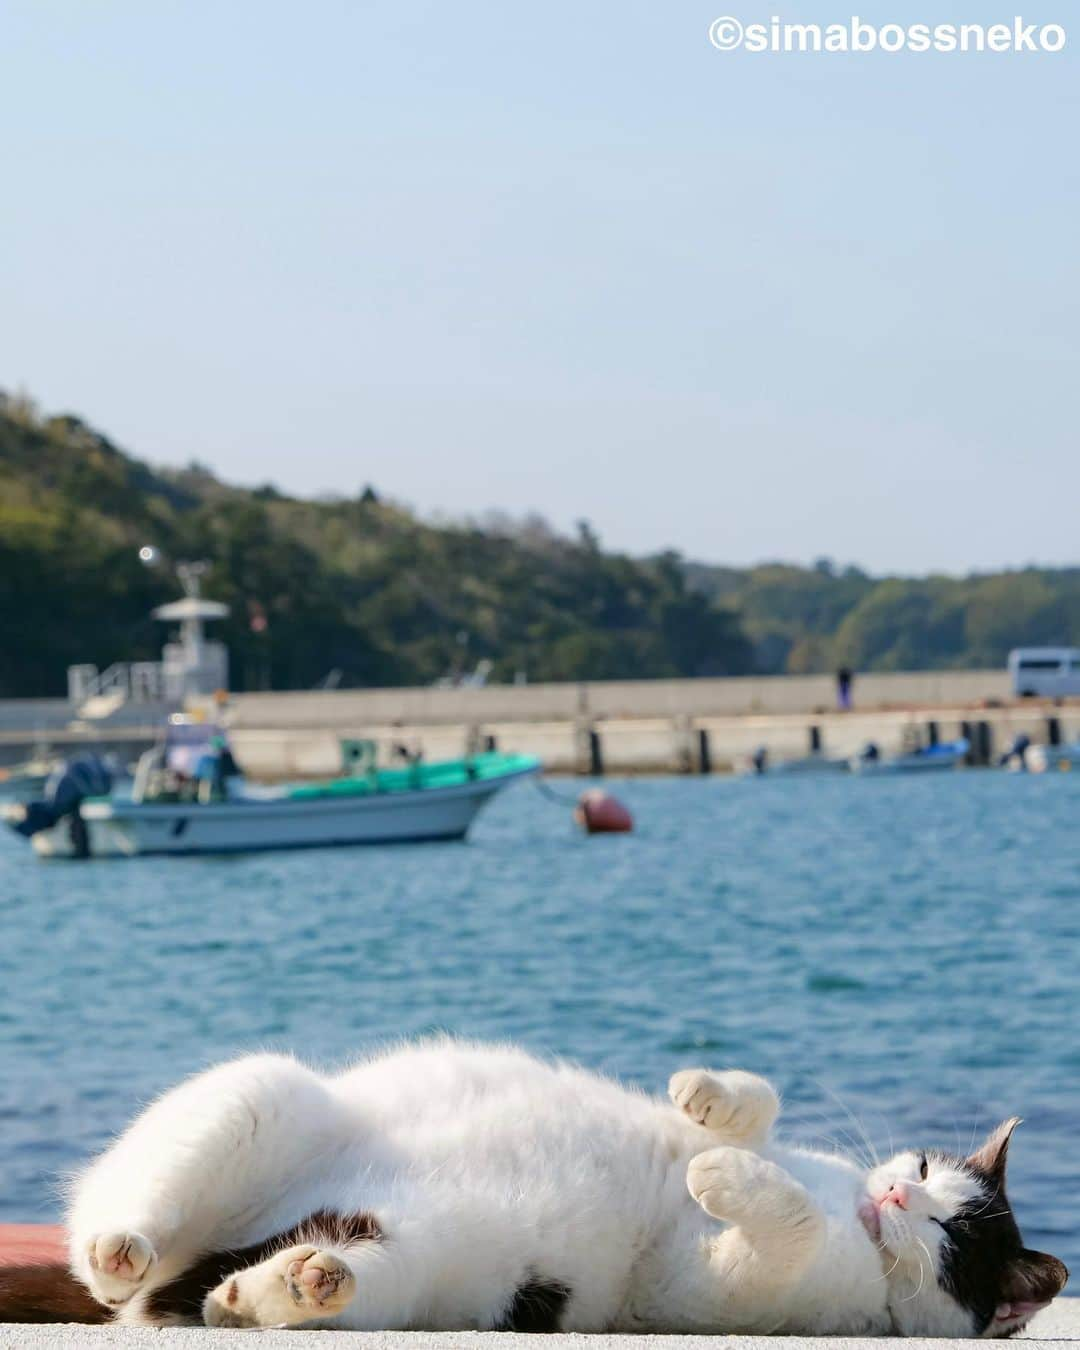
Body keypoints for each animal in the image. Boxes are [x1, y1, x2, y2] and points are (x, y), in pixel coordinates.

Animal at [0, 1036, 1069, 1333]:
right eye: (923, 1172)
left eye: (957, 1242)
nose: (892, 1202)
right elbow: (758, 1105)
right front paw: (708, 1104)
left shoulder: (715, 1291)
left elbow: (786, 1222)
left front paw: (719, 1170)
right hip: (261, 1094)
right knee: (119, 1240)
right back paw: (125, 1247)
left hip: (412, 1269)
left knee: (282, 1287)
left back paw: (284, 1287)